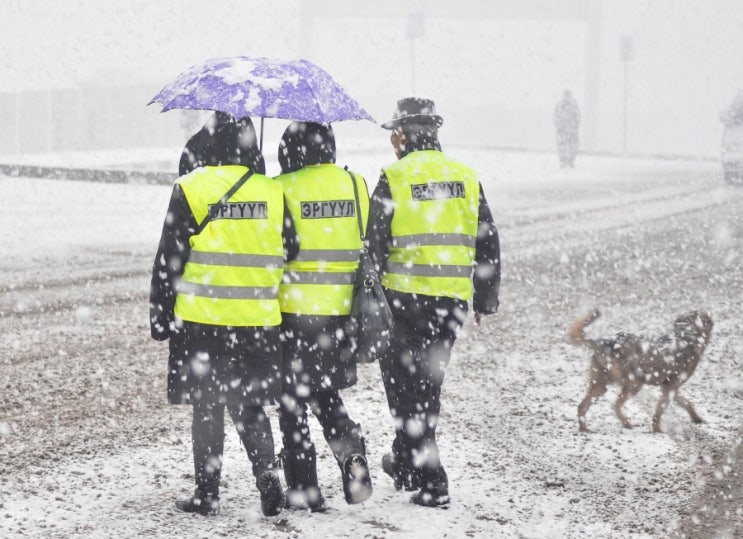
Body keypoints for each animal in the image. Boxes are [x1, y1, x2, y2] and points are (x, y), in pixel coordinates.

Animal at [568, 310, 716, 432]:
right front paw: (657, 430)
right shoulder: (670, 388)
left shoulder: (671, 388)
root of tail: (604, 342)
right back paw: (627, 424)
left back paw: (584, 428)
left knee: (582, 406)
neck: (688, 336)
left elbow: (687, 403)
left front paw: (697, 418)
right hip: (635, 384)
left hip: (600, 386)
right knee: (616, 405)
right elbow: (658, 413)